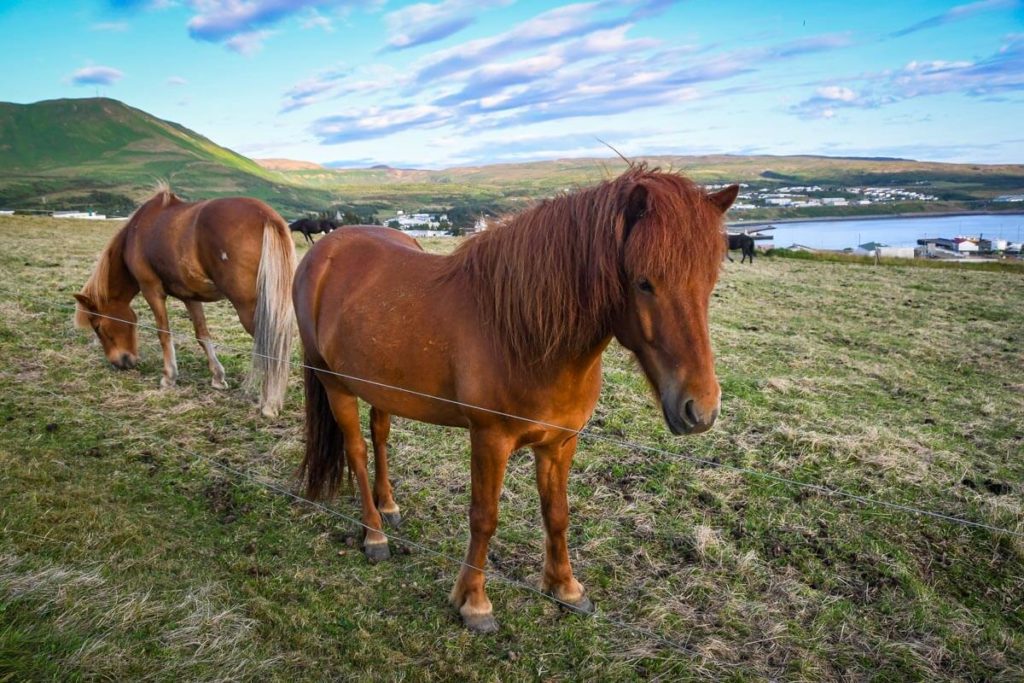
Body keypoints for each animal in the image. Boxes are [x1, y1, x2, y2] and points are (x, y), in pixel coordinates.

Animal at [294, 166, 737, 634]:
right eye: (644, 282)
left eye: (710, 283)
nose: (701, 409)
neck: (522, 333)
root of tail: (324, 250)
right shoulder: (490, 439)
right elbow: (484, 517)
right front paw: (474, 602)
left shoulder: (560, 443)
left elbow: (557, 513)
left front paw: (566, 588)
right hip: (336, 386)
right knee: (357, 451)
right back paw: (375, 534)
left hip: (379, 386)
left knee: (379, 435)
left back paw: (389, 506)